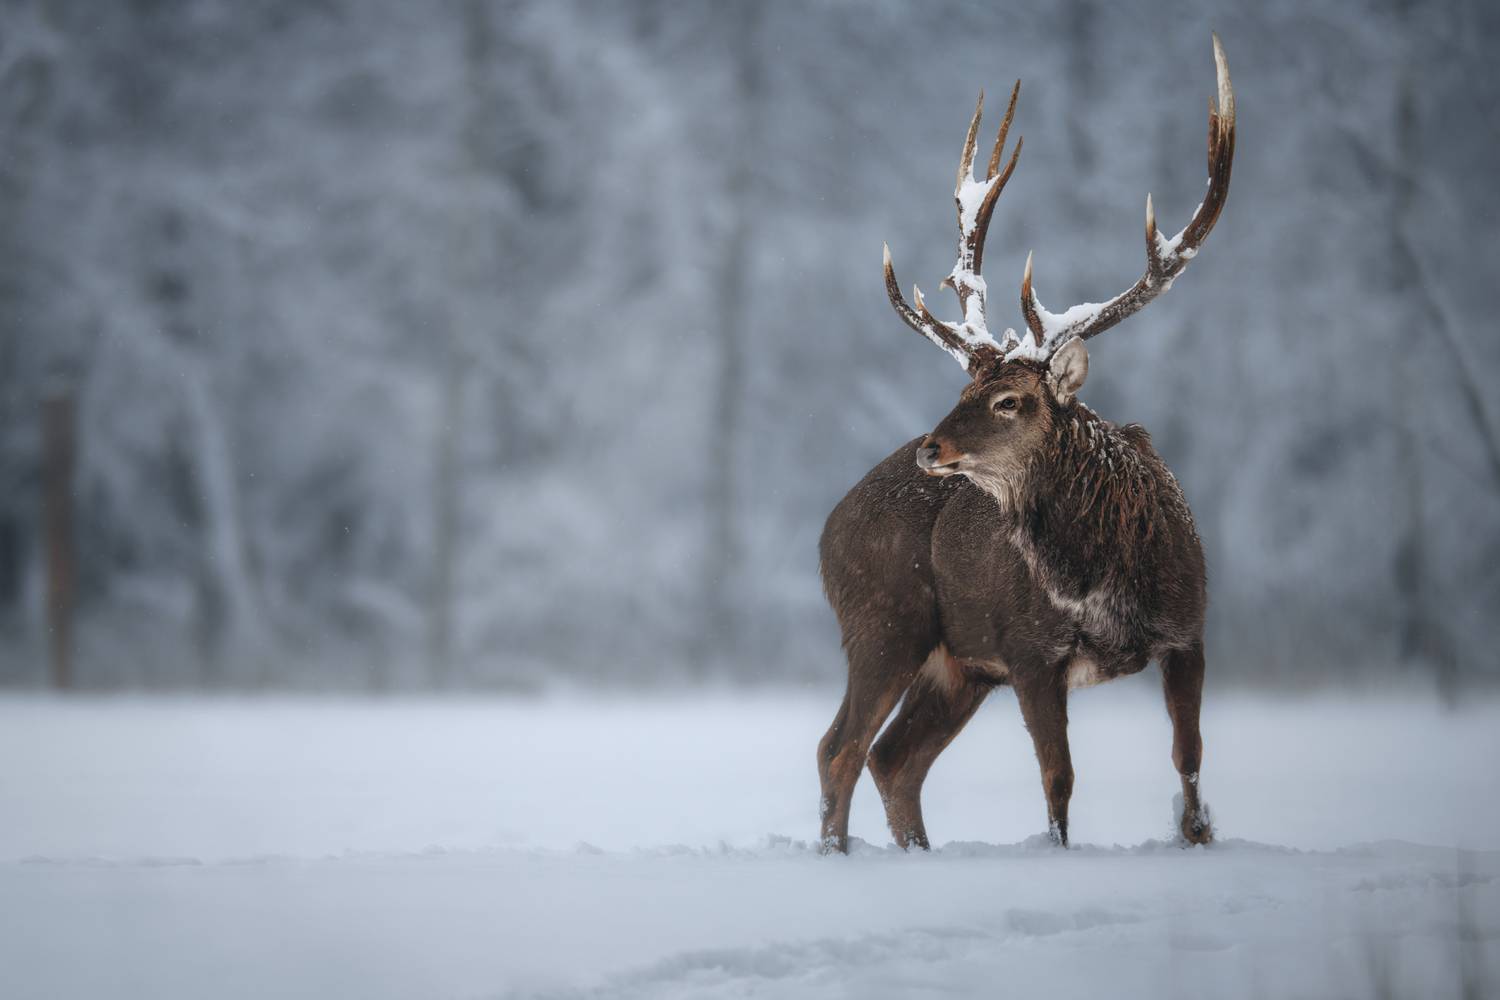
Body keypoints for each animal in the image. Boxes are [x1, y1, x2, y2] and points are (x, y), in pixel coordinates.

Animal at [817, 36, 1235, 854]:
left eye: (1010, 400)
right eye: (964, 391)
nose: (932, 448)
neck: (1106, 586)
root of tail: (826, 531)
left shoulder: (1189, 630)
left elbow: (1190, 759)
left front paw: (1198, 839)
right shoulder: (1029, 646)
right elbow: (1058, 779)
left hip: (956, 665)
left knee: (891, 758)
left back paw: (911, 853)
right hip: (883, 619)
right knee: (842, 747)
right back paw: (837, 855)